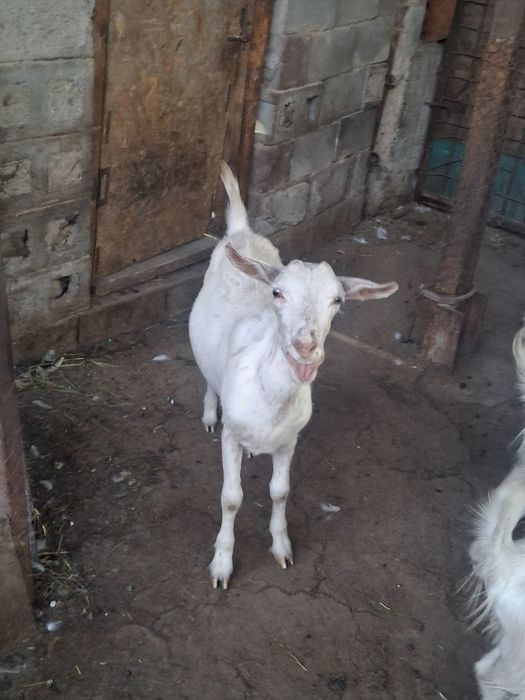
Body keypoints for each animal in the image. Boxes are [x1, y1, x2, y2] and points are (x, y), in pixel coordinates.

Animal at [189, 162, 399, 589]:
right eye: (277, 293)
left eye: (338, 300)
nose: (305, 347)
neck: (270, 396)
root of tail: (241, 232)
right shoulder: (232, 436)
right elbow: (231, 498)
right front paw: (222, 564)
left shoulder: (290, 440)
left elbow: (280, 491)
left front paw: (282, 546)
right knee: (208, 379)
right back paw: (208, 413)